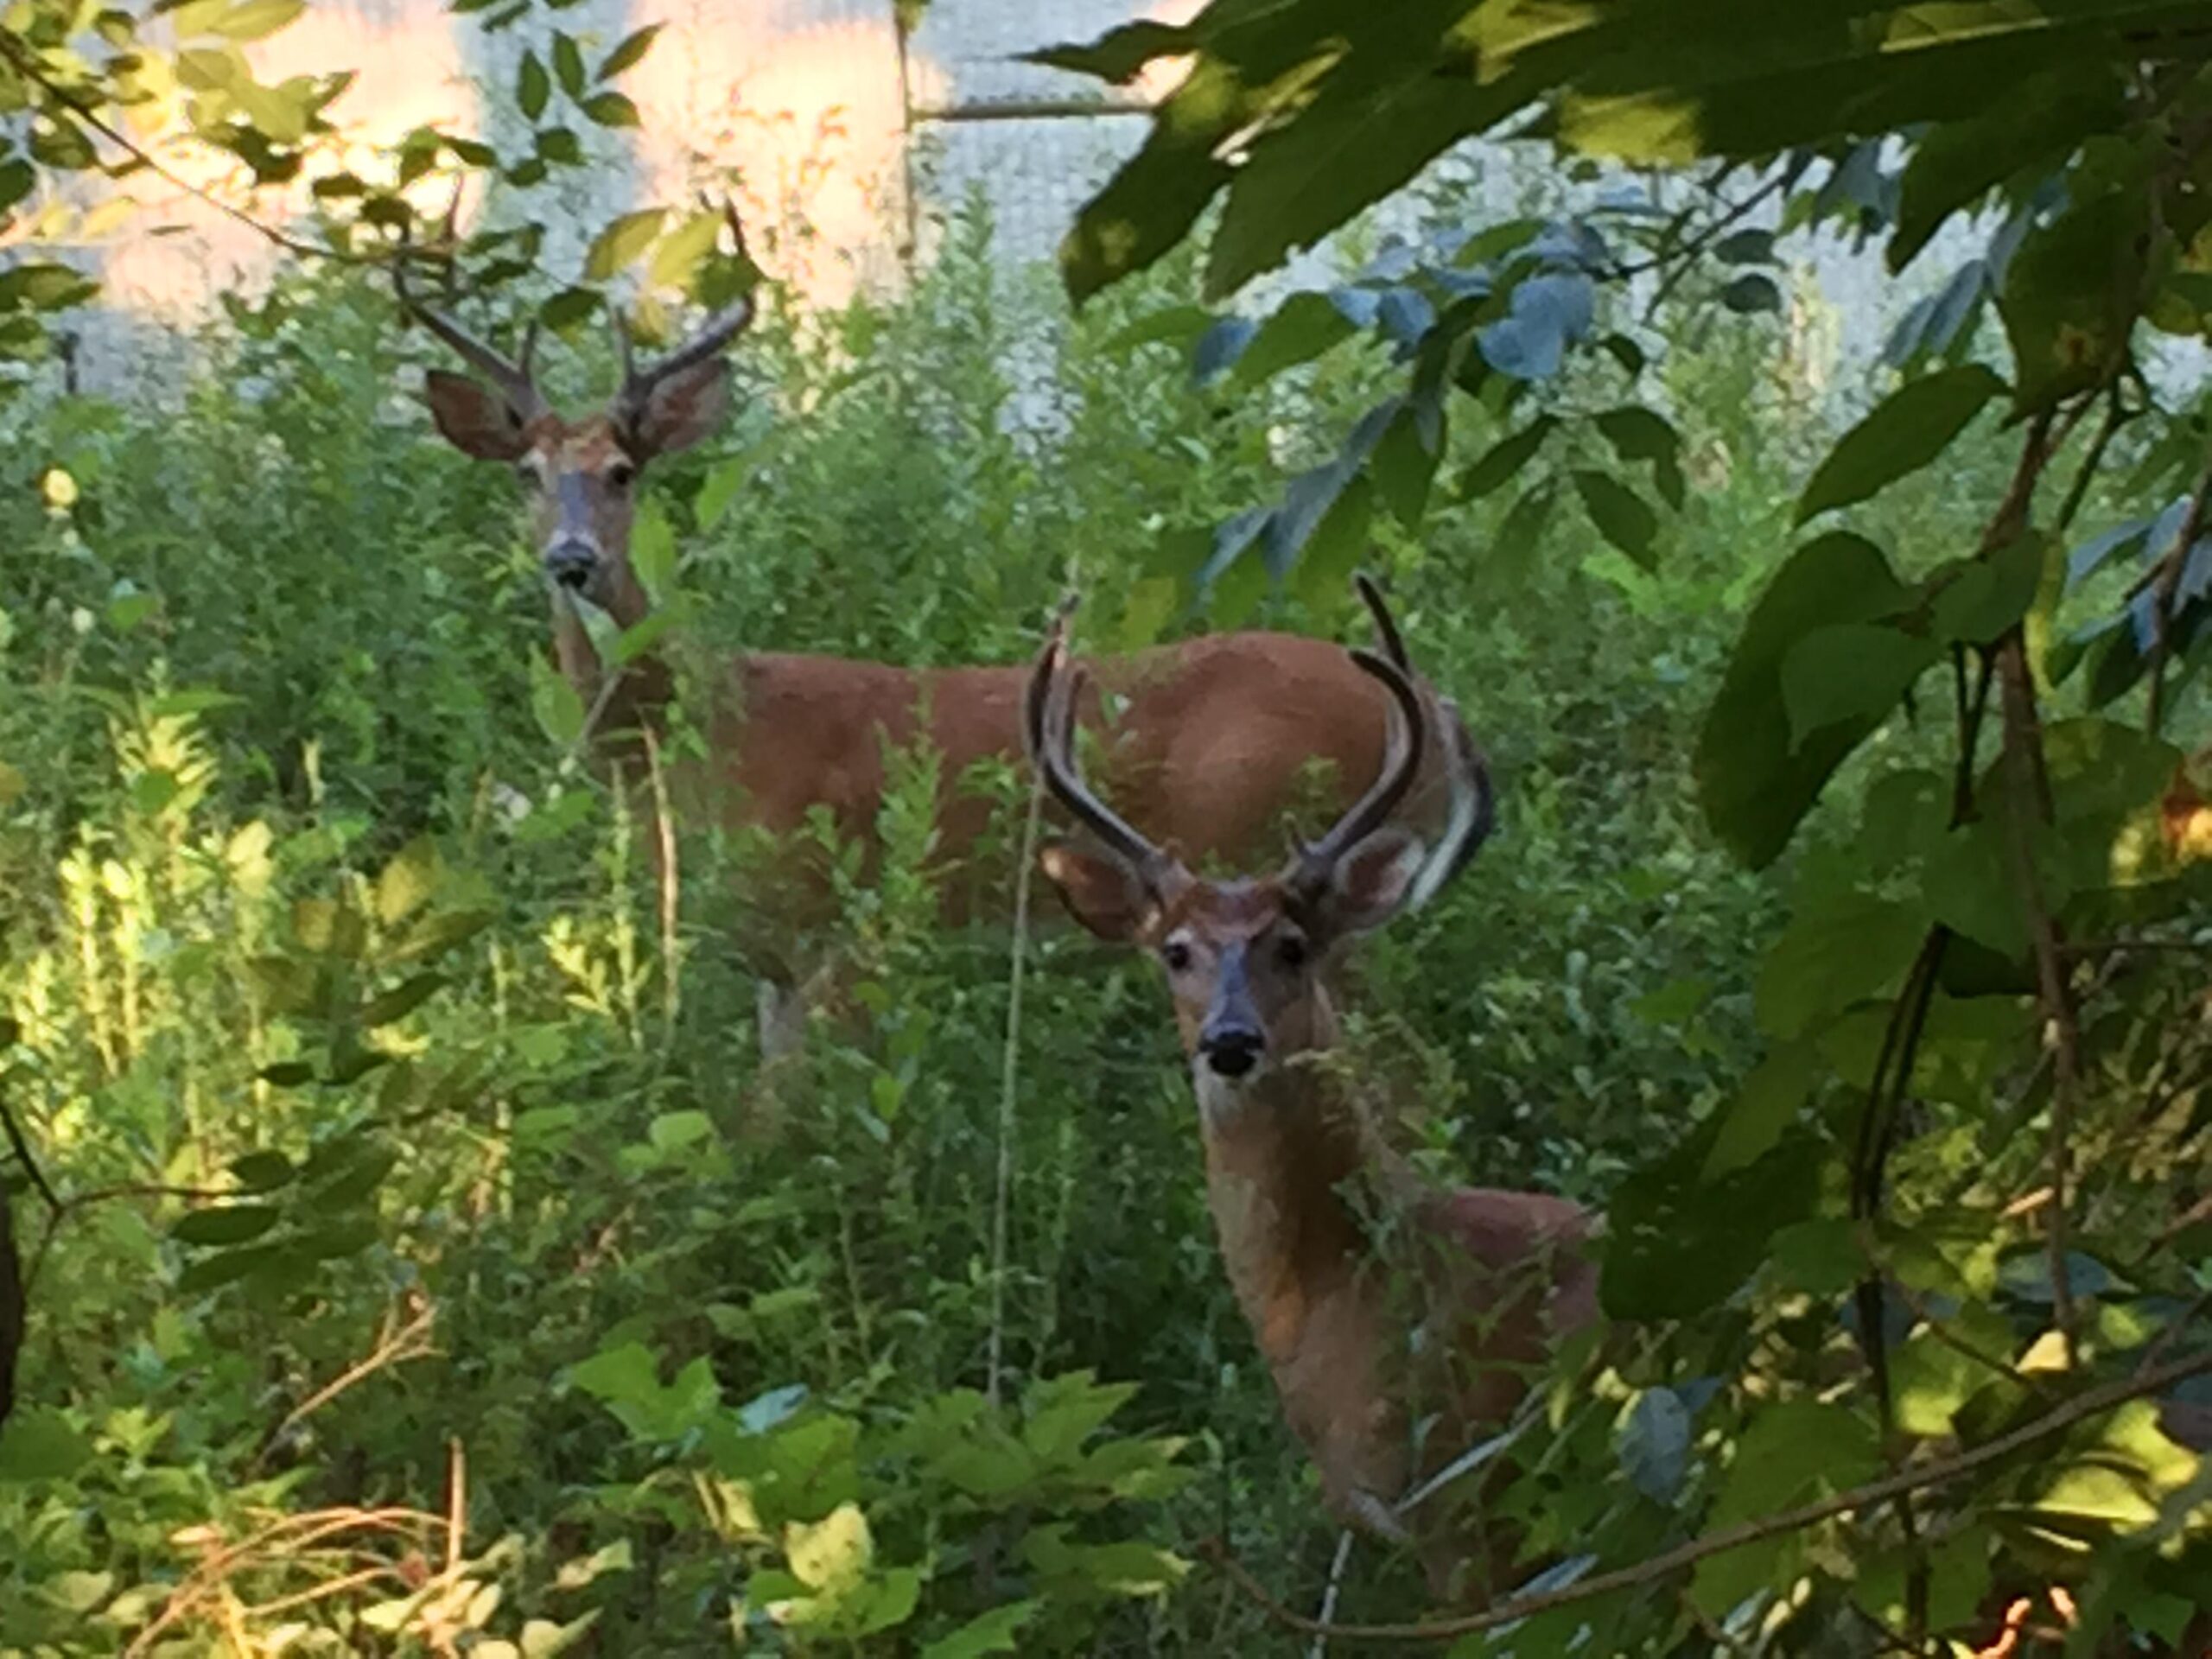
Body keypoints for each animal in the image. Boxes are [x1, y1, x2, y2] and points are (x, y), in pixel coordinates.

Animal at [394, 267, 1479, 1076]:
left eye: (623, 472)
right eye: (527, 475)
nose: (571, 558)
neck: (700, 730)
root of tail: (1442, 713)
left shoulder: (829, 922)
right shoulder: (769, 956)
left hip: (1302, 884)